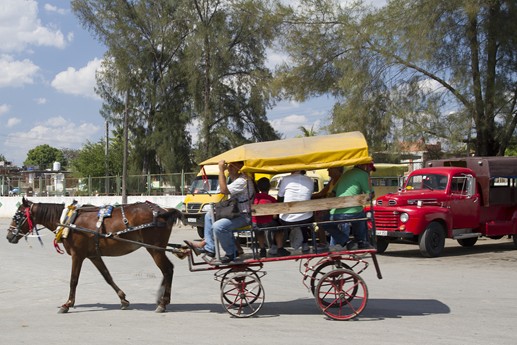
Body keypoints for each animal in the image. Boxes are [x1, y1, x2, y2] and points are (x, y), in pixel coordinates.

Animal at [6, 196, 183, 312]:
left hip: (155, 248)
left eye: (18, 216)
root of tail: (163, 210)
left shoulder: (77, 255)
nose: (8, 236)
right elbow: (107, 276)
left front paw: (67, 304)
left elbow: (73, 280)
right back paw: (160, 298)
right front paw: (123, 299)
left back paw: (163, 302)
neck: (69, 222)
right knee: (167, 270)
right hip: (156, 248)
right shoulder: (93, 256)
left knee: (168, 270)